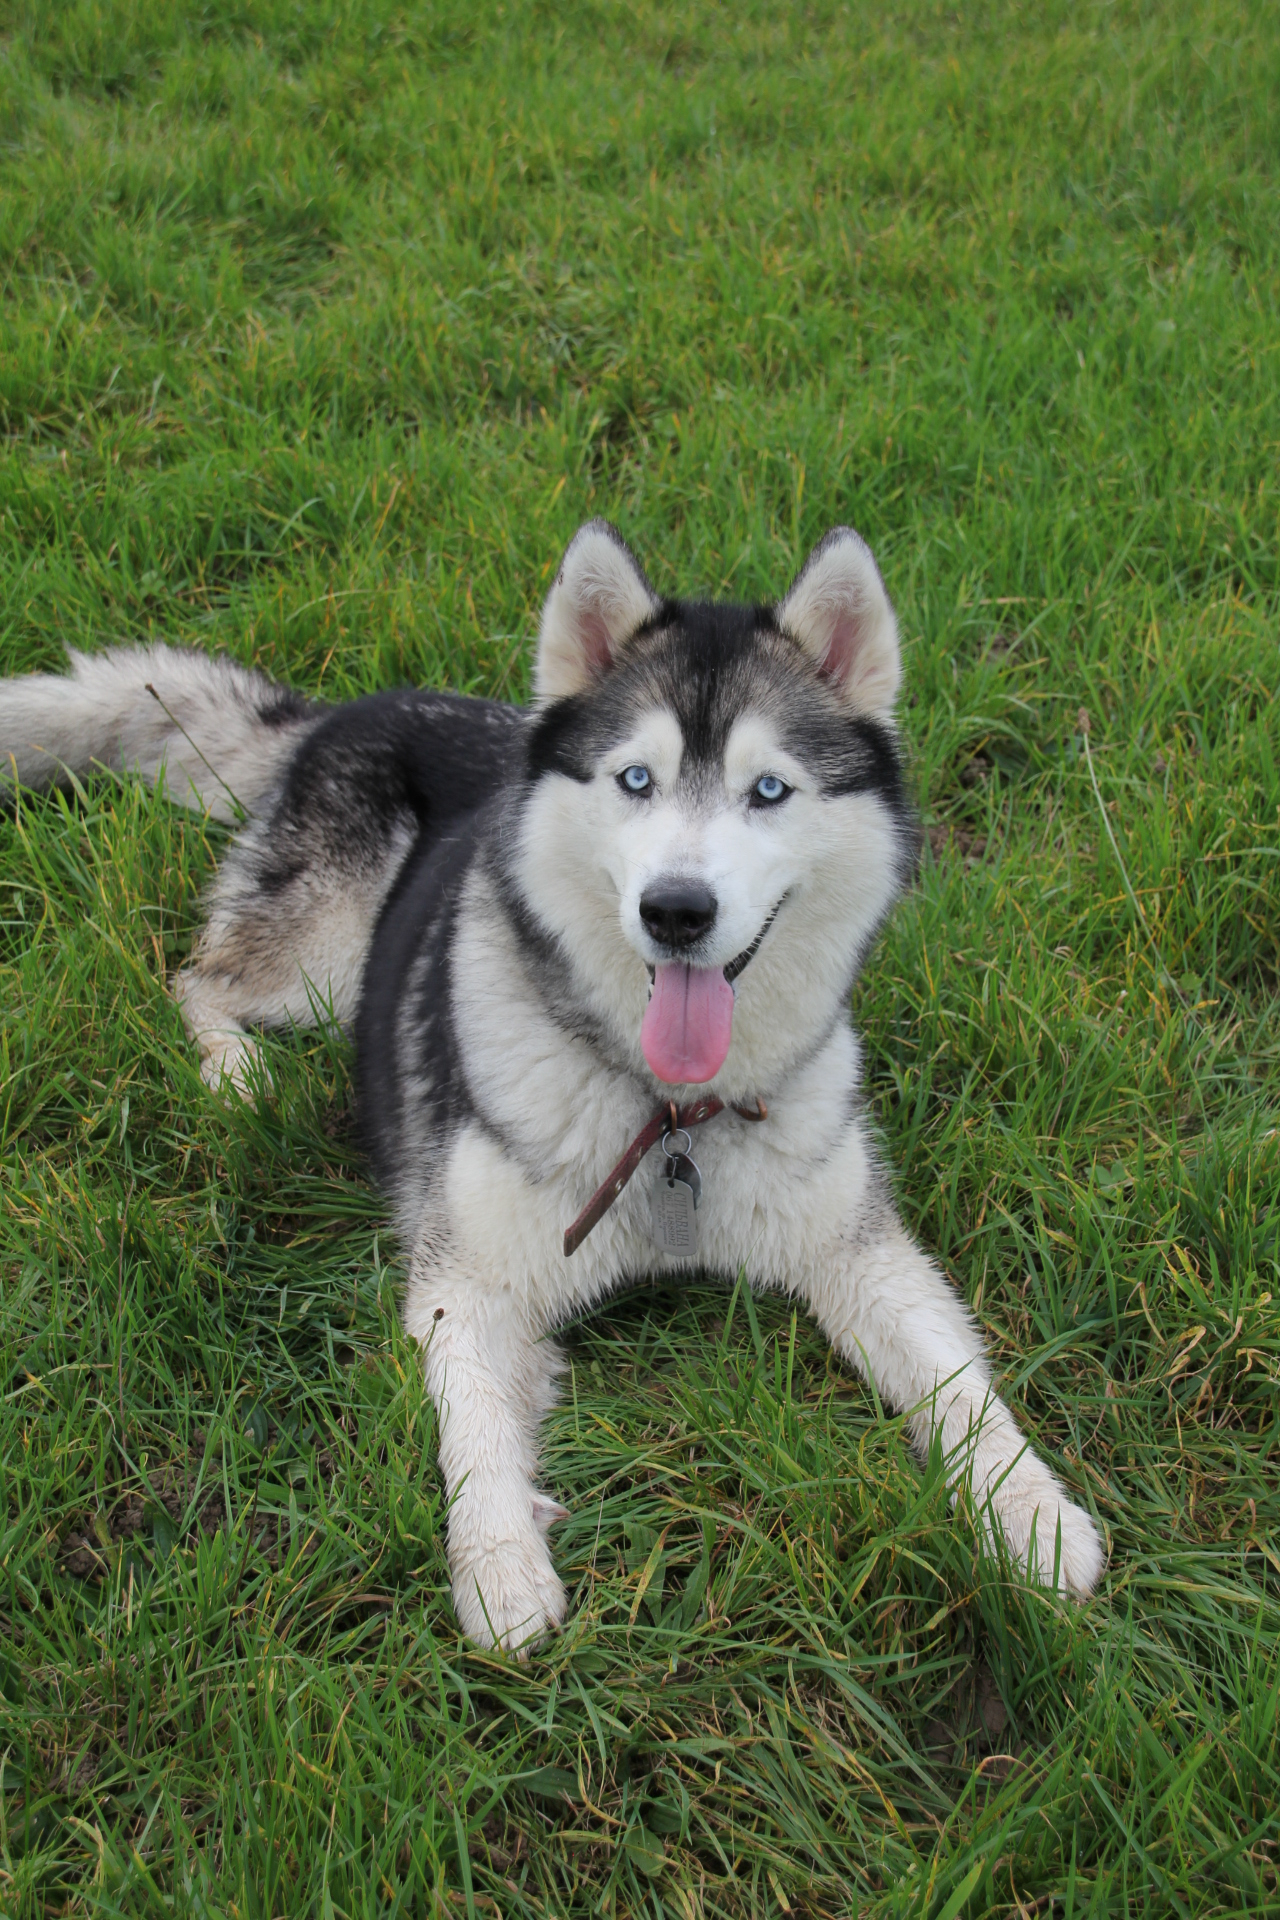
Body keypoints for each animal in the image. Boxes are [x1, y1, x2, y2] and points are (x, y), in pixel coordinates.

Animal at [1, 521, 1105, 1646]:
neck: (670, 1118)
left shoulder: (860, 1250)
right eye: (635, 780)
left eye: (768, 789)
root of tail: (341, 706)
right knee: (200, 975)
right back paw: (237, 1072)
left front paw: (1031, 1512)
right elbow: (475, 1426)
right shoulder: (472, 1277)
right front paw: (497, 1565)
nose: (676, 910)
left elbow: (956, 1381)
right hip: (325, 957)